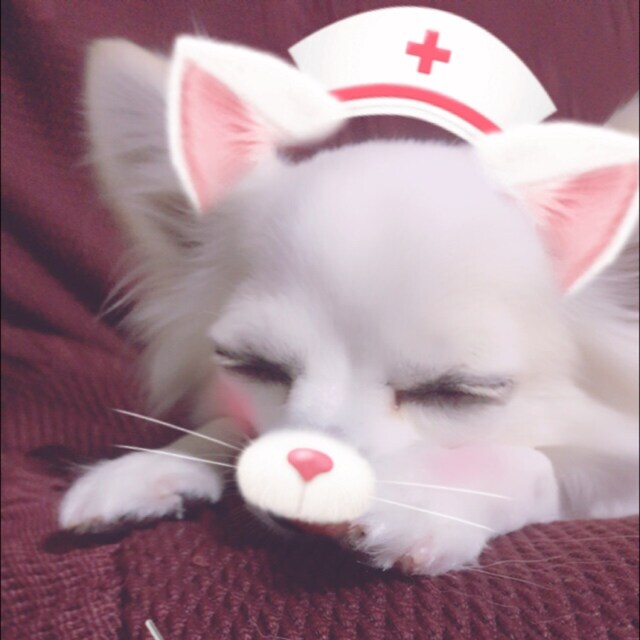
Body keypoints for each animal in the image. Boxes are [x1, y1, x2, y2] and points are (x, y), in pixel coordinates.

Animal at [59, 36, 639, 575]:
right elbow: (227, 425)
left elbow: (534, 462)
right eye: (253, 366)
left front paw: (428, 499)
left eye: (456, 393)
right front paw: (154, 466)